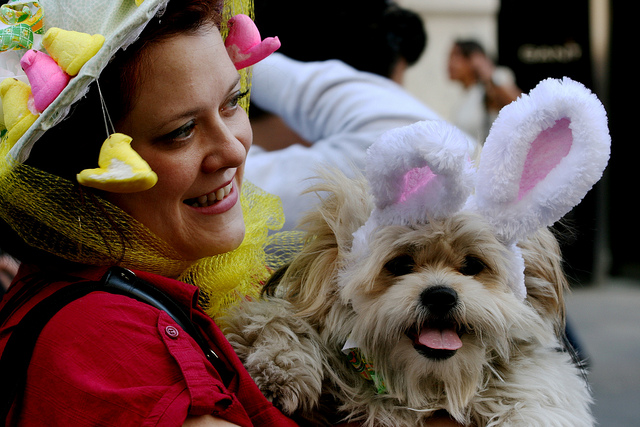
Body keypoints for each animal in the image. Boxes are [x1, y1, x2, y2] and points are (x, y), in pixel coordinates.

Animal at [222, 78, 608, 426]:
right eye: (400, 264)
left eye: (472, 265)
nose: (440, 296)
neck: (424, 386)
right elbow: (276, 319)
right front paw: (281, 367)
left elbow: (535, 393)